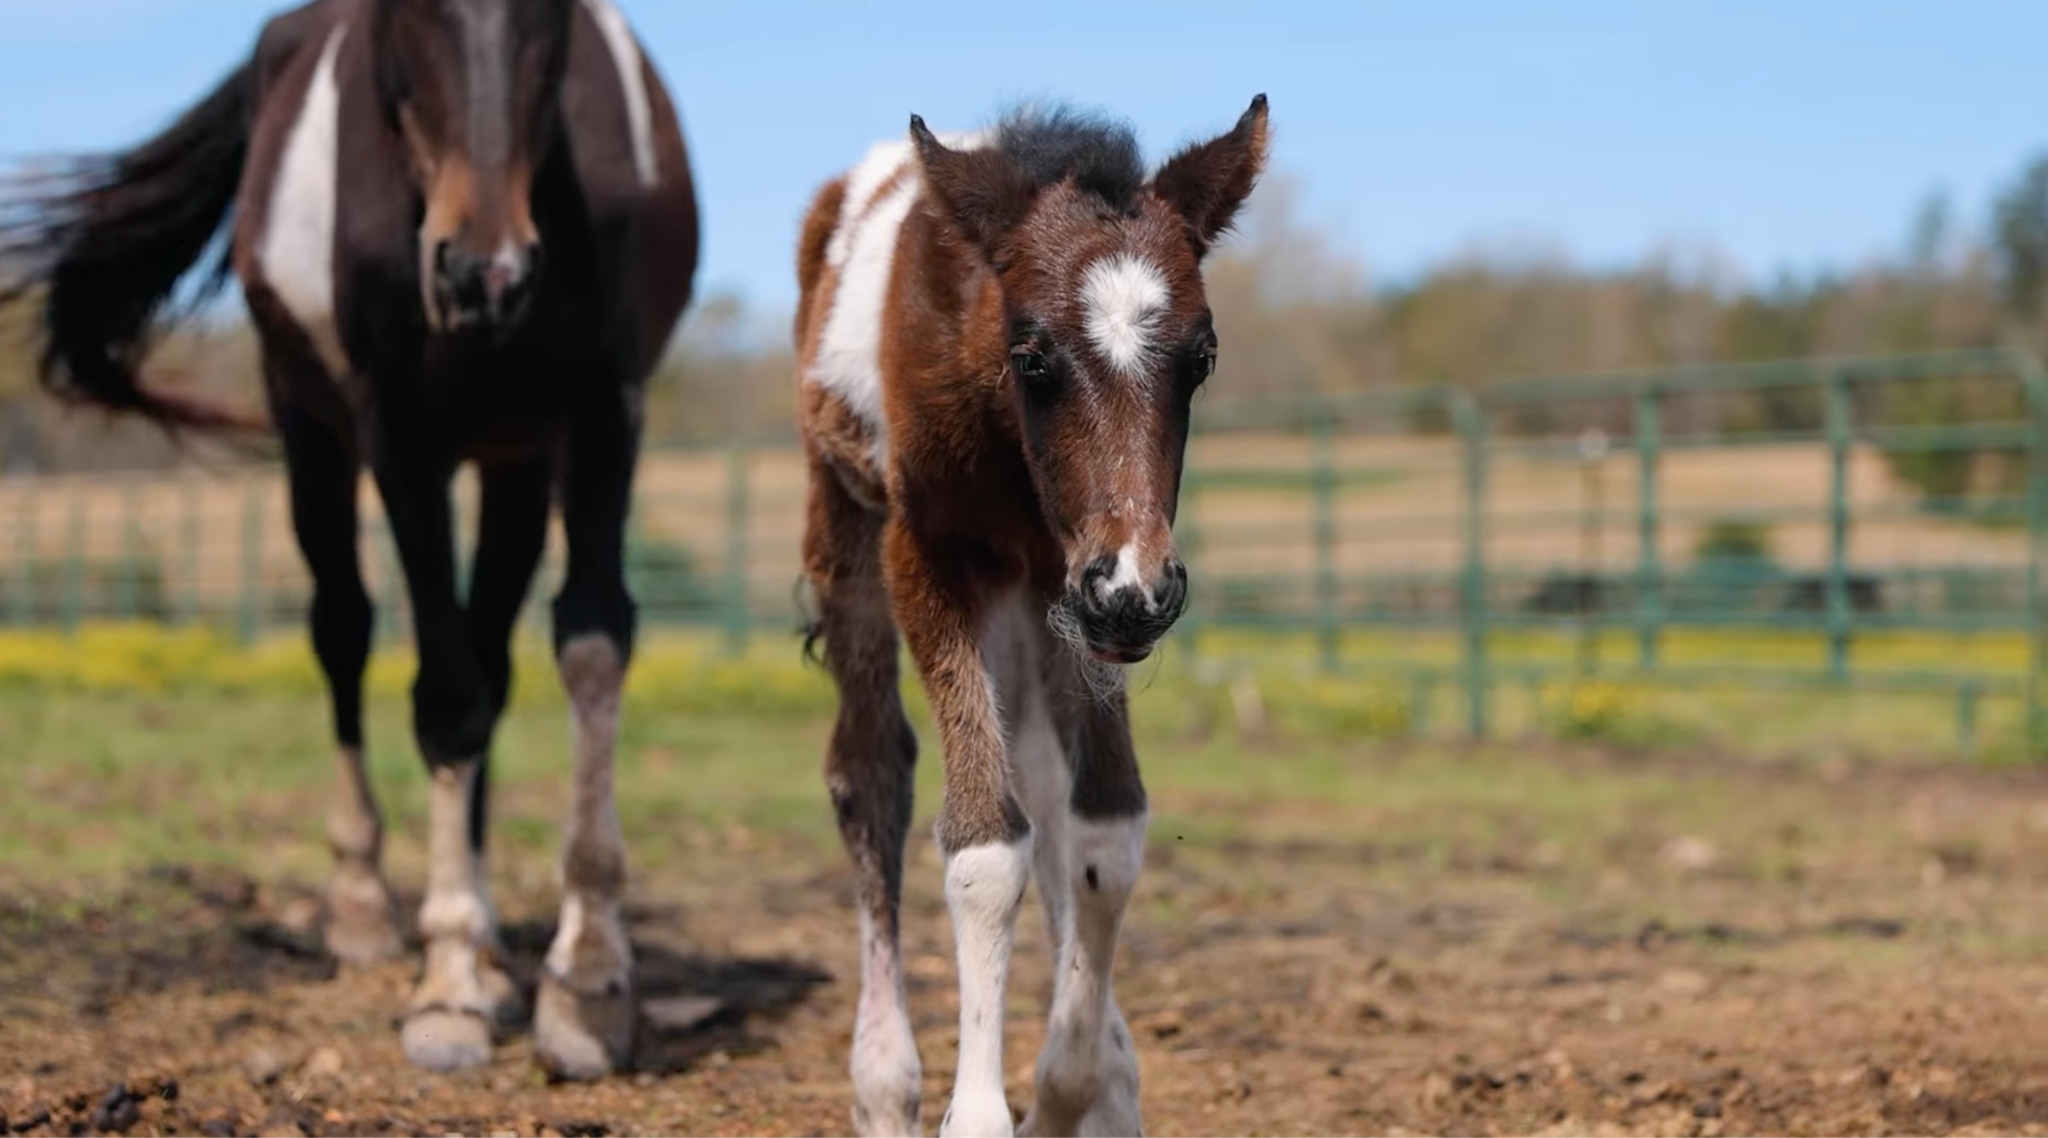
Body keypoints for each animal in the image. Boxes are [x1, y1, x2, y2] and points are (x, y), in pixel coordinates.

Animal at [0, 0, 699, 1079]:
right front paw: (446, 983)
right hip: (310, 432)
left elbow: (588, 645)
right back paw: (368, 909)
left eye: (552, 16)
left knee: (492, 654)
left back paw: (499, 956)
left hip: (511, 458)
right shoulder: (397, 430)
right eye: (406, 15)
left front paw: (585, 983)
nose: (483, 274)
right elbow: (444, 696)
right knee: (346, 632)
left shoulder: (600, 407)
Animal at [794, 97, 1269, 1138]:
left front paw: (1076, 1085)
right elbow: (983, 845)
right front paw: (978, 1111)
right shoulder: (930, 556)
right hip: (847, 516)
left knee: (1045, 781)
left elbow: (1102, 829)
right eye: (1033, 354)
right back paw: (883, 1084)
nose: (1142, 588)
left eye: (1203, 356)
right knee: (867, 771)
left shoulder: (1076, 584)